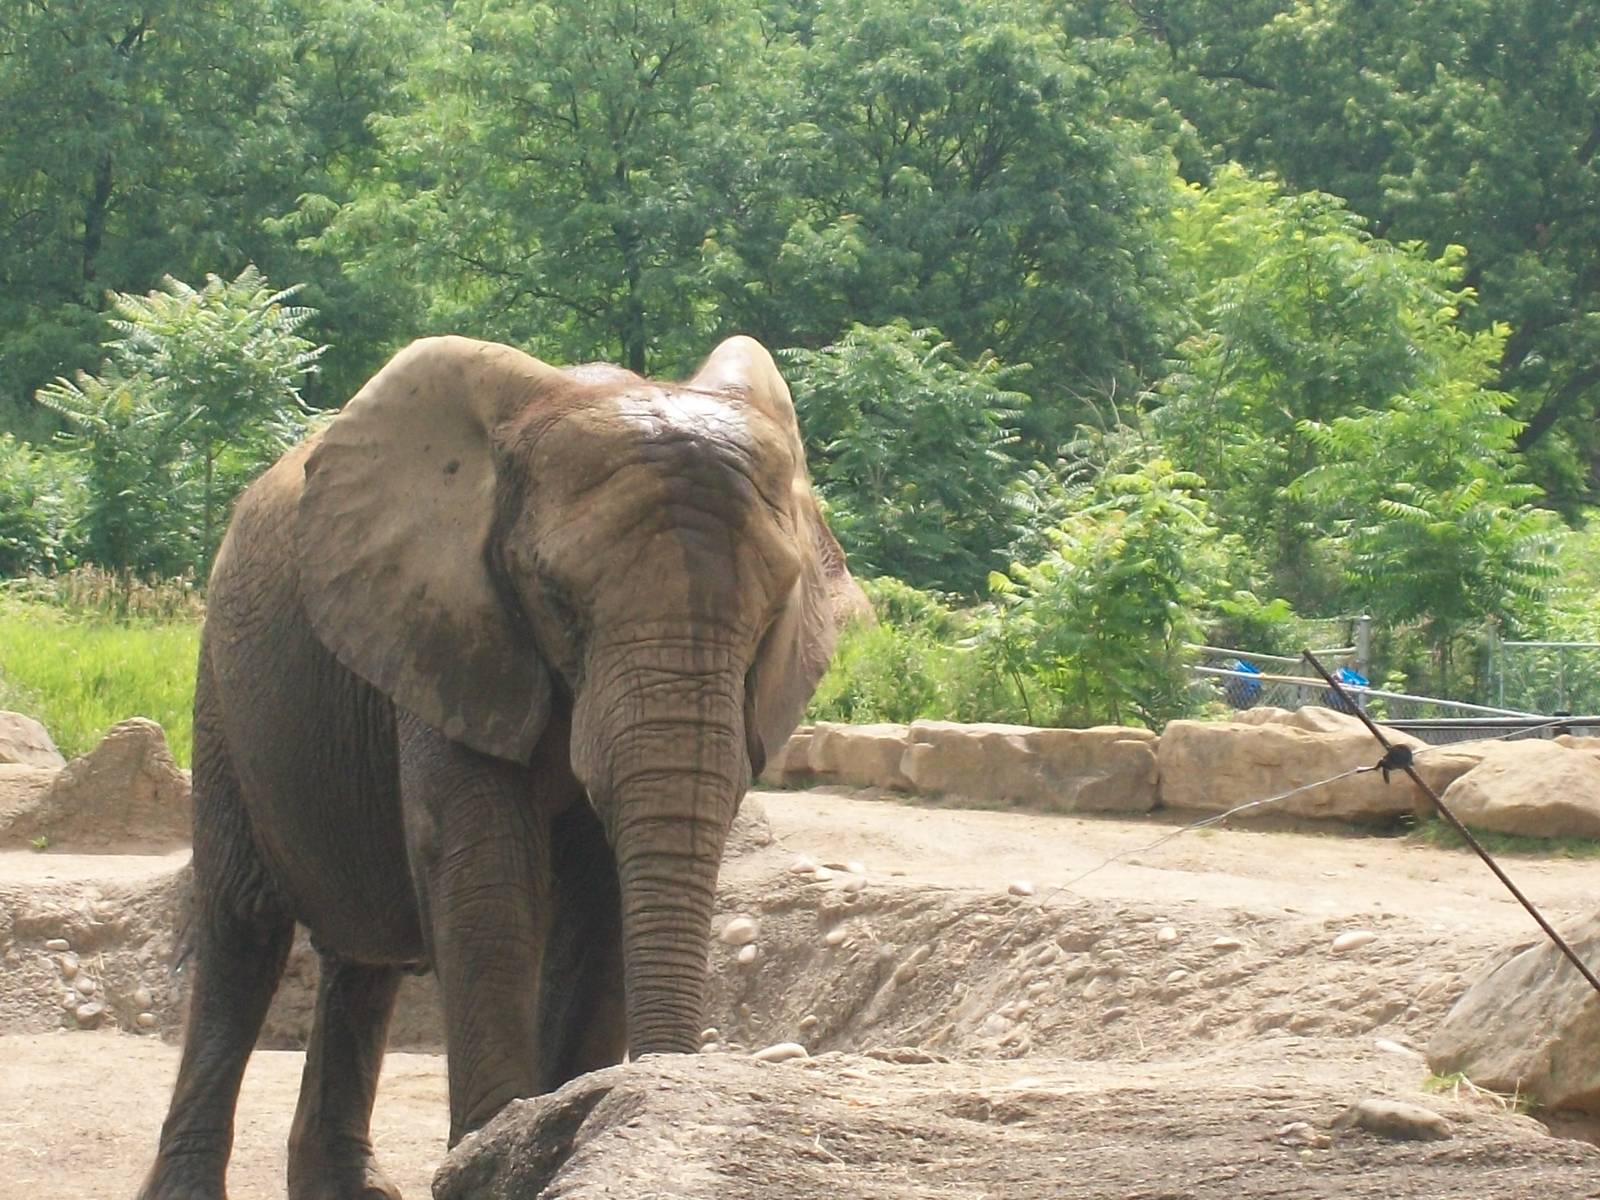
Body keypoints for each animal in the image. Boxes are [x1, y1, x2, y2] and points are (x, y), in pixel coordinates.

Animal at [137, 335, 860, 1200]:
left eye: (775, 608)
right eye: (555, 596)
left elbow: (599, 888)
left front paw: (556, 1135)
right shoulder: (444, 625)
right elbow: (485, 865)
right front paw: (496, 1155)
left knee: (363, 956)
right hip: (223, 687)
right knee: (244, 931)